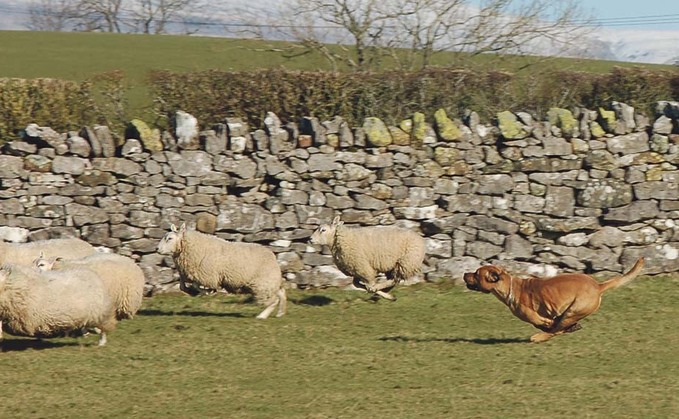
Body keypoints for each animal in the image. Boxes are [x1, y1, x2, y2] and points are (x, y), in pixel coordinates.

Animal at [157, 225, 286, 320]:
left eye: (169, 238)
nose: (157, 249)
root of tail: (273, 257)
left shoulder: (208, 275)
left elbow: (195, 285)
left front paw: (207, 291)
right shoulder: (189, 273)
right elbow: (182, 286)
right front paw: (194, 291)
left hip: (262, 283)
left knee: (273, 300)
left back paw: (262, 316)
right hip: (269, 282)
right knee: (281, 293)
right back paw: (280, 313)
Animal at [464, 260, 644, 344]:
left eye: (476, 273)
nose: (465, 273)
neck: (510, 287)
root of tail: (598, 286)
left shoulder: (541, 319)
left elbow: (549, 326)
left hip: (573, 311)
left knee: (556, 329)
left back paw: (541, 337)